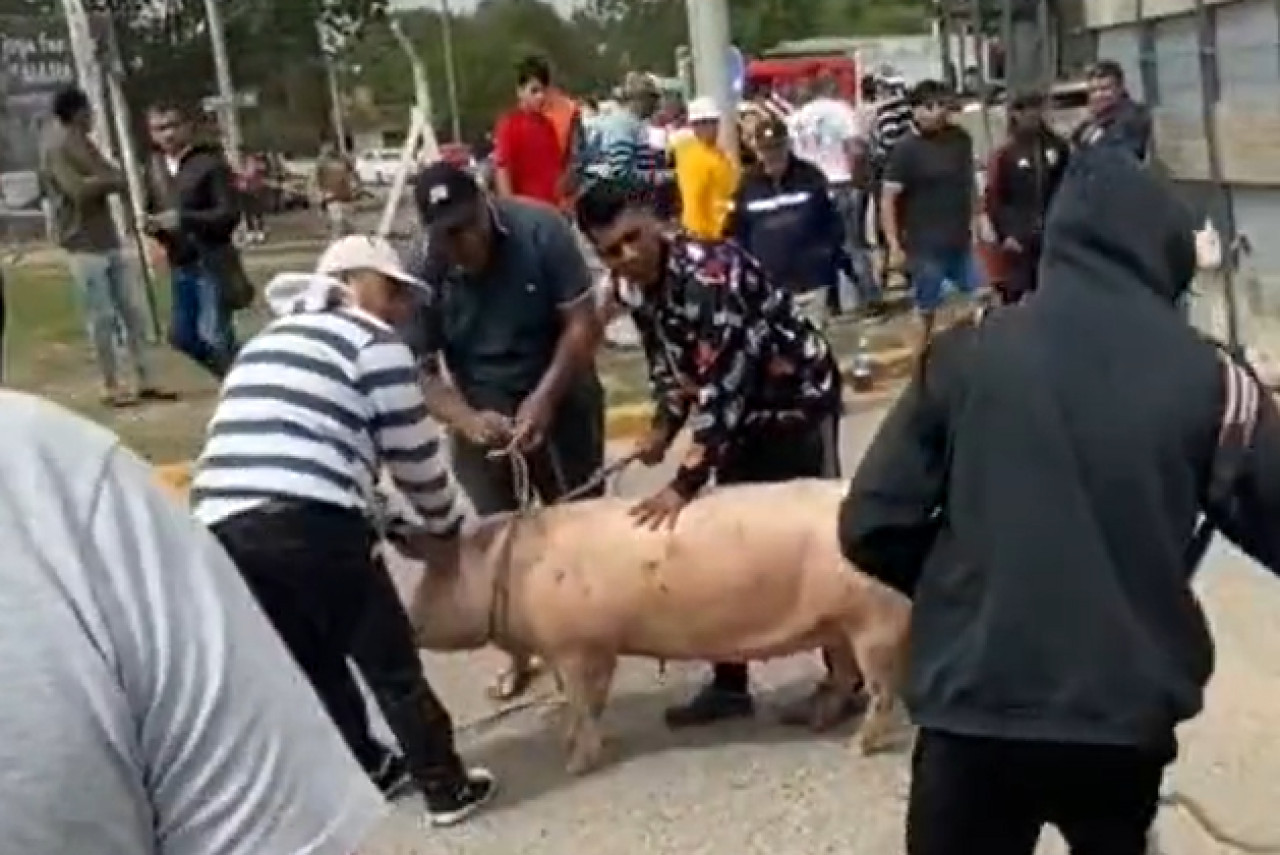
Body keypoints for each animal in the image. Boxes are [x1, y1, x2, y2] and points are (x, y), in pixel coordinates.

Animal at [404, 478, 916, 778]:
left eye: (435, 577)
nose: (410, 623)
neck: (513, 572)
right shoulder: (598, 646)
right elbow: (592, 701)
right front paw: (591, 742)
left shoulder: (576, 646)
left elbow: (581, 702)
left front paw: (573, 766)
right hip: (843, 622)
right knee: (847, 675)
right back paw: (814, 720)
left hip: (875, 621)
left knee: (882, 691)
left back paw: (855, 748)